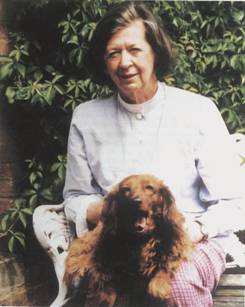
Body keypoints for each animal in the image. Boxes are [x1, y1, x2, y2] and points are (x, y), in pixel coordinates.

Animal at [64, 176, 193, 307]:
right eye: (125, 190)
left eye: (149, 187)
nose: (136, 201)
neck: (139, 240)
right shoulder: (104, 266)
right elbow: (105, 288)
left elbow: (164, 263)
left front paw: (158, 285)